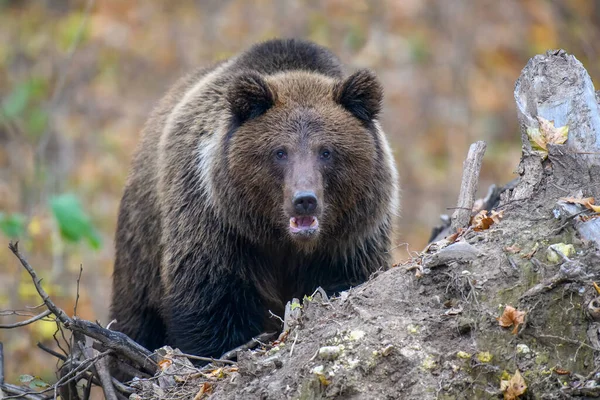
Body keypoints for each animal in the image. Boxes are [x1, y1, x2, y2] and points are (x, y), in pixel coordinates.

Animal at [110, 38, 400, 360]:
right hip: (141, 244)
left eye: (326, 151)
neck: (284, 243)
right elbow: (210, 303)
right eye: (279, 151)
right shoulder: (217, 224)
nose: (305, 199)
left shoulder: (348, 240)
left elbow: (345, 279)